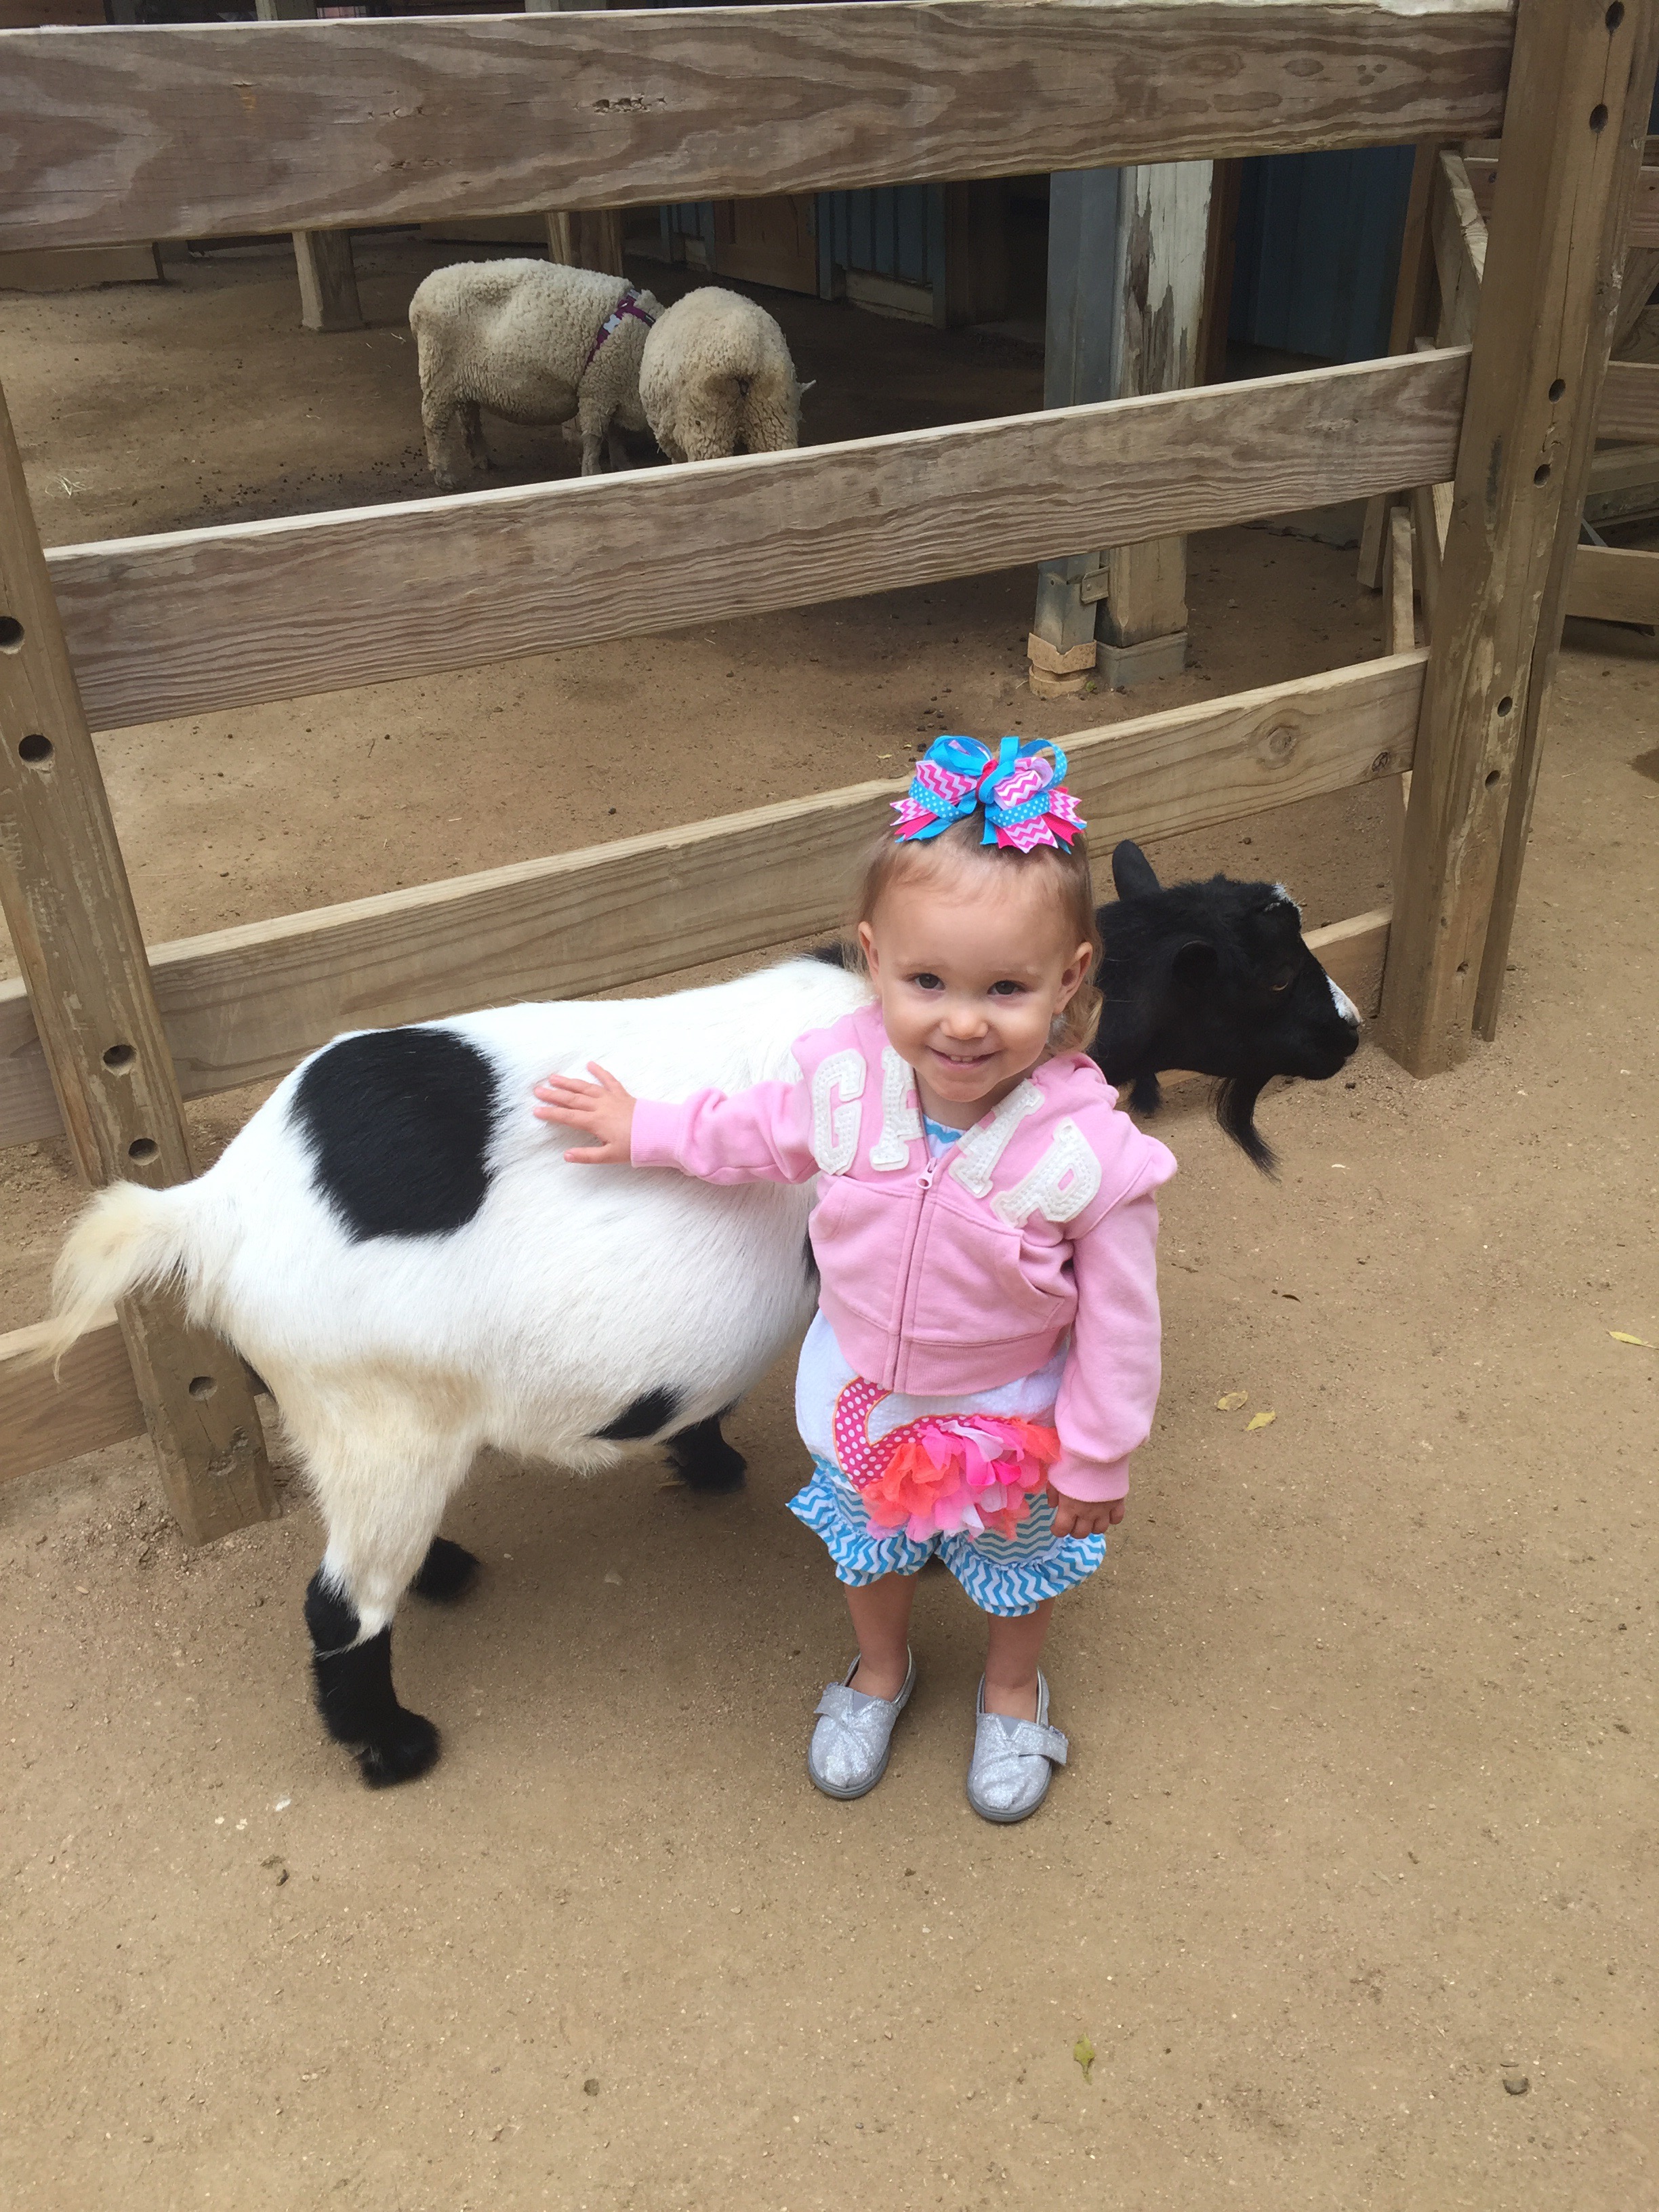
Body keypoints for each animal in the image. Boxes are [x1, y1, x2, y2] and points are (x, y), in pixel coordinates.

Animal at [43, 870, 1358, 1788]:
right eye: (1268, 977)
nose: (1347, 1031)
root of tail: (214, 1206)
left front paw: (711, 1462)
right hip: (381, 1410)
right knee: (338, 1604)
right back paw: (394, 1744)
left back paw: (448, 1571)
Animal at [408, 259, 663, 487]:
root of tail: (419, 297)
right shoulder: (597, 389)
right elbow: (595, 438)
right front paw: (592, 473)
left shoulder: (612, 389)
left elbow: (616, 434)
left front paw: (623, 465)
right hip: (438, 373)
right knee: (433, 422)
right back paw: (443, 475)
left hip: (462, 379)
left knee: (469, 419)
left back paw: (482, 459)